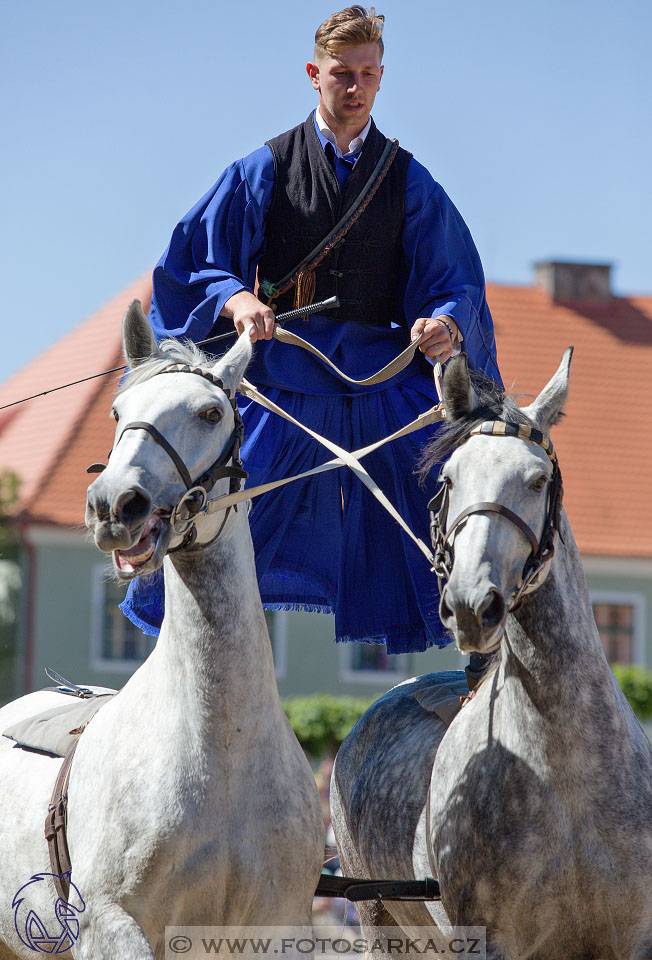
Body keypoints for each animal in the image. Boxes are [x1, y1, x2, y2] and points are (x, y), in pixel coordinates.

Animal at [0, 302, 324, 960]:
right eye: (118, 412)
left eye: (210, 413)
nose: (113, 505)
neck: (221, 754)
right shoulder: (113, 925)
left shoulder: (279, 926)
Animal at [332, 352, 652, 960]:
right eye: (449, 479)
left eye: (538, 479)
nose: (470, 605)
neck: (564, 772)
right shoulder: (488, 940)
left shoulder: (634, 936)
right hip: (378, 918)